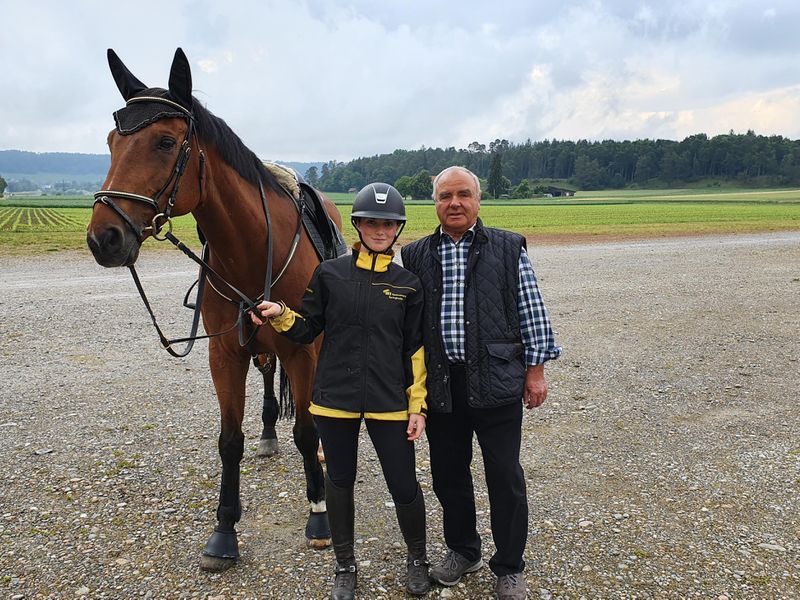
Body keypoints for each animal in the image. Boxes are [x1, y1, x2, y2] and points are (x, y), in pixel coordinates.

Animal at [86, 48, 342, 572]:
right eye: (111, 142)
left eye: (165, 142)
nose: (104, 237)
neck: (253, 246)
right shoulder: (224, 353)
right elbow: (229, 442)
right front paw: (224, 531)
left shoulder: (302, 349)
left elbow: (307, 432)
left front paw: (318, 514)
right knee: (266, 374)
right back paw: (268, 431)